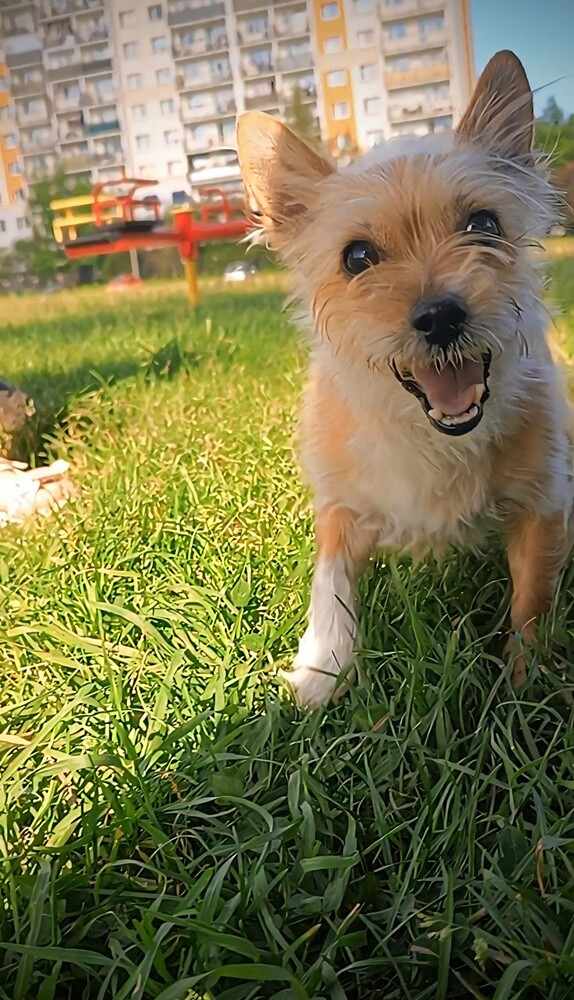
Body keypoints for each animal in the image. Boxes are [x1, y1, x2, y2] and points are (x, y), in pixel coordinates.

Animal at [236, 50, 573, 708]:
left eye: (484, 224)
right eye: (357, 257)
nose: (441, 315)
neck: (432, 438)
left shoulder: (544, 504)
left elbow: (533, 601)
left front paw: (528, 684)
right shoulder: (340, 507)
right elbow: (330, 585)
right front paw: (321, 669)